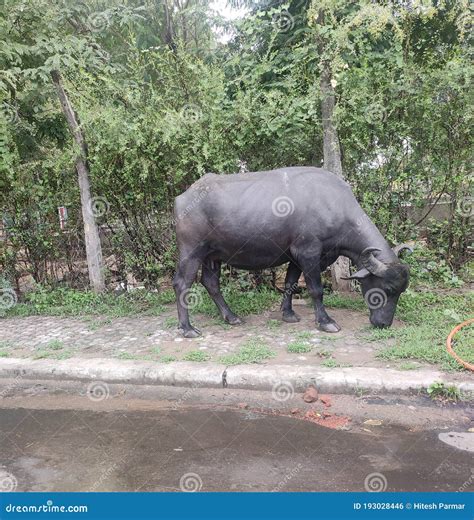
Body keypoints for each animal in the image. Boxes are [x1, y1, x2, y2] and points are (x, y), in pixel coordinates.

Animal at [173, 166, 410, 338]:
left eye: (401, 291)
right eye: (388, 289)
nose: (384, 324)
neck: (332, 205)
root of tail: (183, 197)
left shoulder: (295, 256)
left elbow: (290, 283)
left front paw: (288, 314)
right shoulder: (308, 252)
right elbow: (316, 289)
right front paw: (326, 322)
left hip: (212, 256)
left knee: (211, 283)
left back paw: (231, 317)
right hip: (191, 252)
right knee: (182, 284)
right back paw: (187, 328)